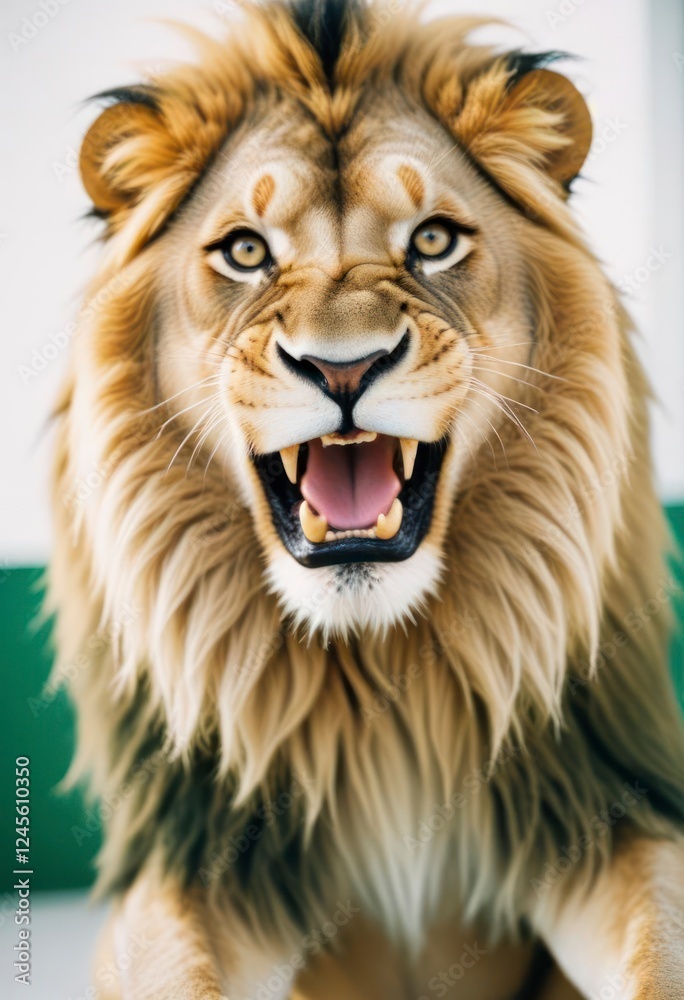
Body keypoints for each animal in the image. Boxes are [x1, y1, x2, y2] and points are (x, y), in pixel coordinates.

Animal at [48, 1, 684, 997]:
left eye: (432, 240)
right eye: (245, 252)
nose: (343, 368)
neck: (378, 666)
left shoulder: (598, 806)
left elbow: (659, 943)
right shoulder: (203, 859)